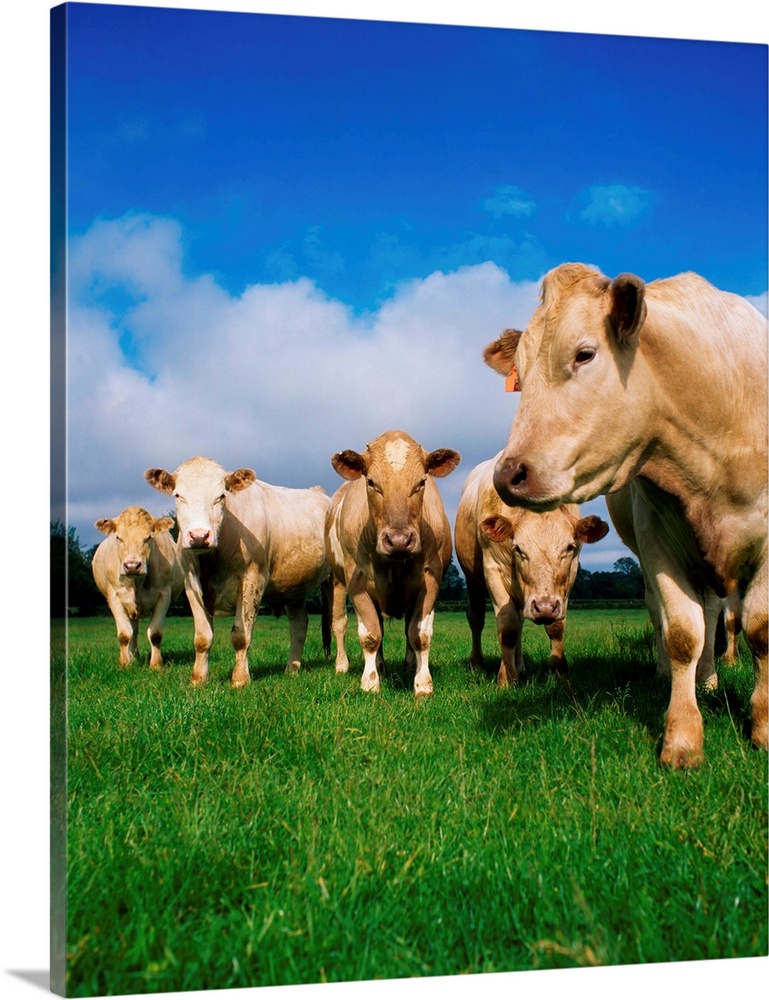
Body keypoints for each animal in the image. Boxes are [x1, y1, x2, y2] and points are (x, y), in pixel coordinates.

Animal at [91, 506, 183, 668]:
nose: (132, 566)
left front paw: (156, 664)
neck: (137, 583)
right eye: (118, 537)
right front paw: (124, 664)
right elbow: (124, 634)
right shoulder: (114, 596)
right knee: (132, 631)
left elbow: (155, 633)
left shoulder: (164, 595)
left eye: (149, 537)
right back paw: (132, 658)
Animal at [145, 456, 331, 687]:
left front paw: (240, 679)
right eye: (178, 495)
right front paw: (198, 679)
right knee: (299, 625)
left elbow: (241, 636)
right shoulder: (191, 584)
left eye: (221, 496)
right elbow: (202, 637)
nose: (199, 536)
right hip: (294, 587)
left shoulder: (253, 579)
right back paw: (291, 668)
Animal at [326, 430, 460, 697]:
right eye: (371, 482)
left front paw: (422, 683)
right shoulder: (356, 581)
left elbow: (419, 634)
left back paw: (405, 665)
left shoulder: (431, 578)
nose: (399, 540)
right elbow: (370, 634)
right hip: (336, 581)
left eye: (421, 482)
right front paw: (370, 682)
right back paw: (344, 665)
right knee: (340, 623)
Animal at [455, 454, 609, 687]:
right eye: (518, 548)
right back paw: (478, 663)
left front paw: (560, 673)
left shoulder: (570, 575)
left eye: (569, 547)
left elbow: (554, 627)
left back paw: (520, 666)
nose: (544, 607)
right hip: (473, 579)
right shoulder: (493, 569)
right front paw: (506, 679)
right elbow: (507, 627)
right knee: (477, 618)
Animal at [484, 262, 767, 768]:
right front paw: (682, 737)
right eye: (521, 373)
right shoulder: (658, 541)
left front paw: (763, 727)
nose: (507, 474)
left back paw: (710, 679)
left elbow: (760, 629)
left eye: (584, 354)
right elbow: (682, 633)